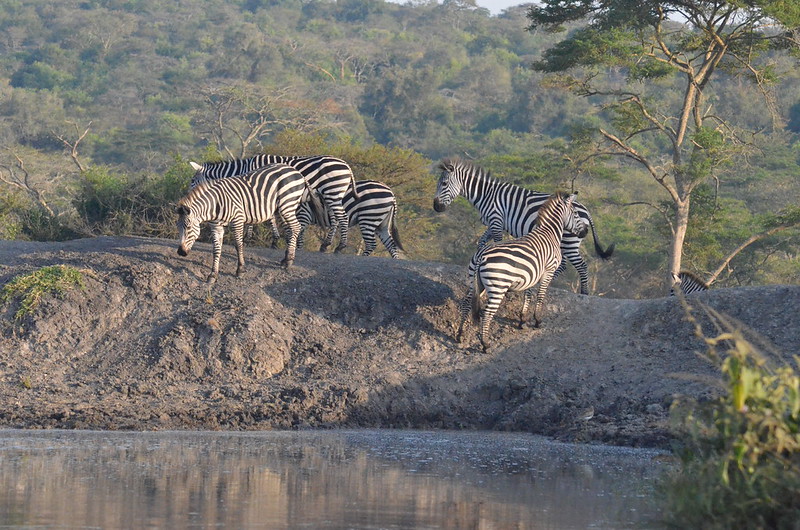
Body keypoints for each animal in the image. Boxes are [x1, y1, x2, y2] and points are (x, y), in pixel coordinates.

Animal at [177, 163, 318, 282]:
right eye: (178, 228)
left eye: (188, 227)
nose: (180, 252)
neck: (215, 204)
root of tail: (296, 171)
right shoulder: (216, 226)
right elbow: (216, 249)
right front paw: (213, 274)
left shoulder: (237, 220)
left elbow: (238, 245)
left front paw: (240, 269)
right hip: (281, 210)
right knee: (290, 230)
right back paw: (285, 259)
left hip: (287, 205)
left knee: (296, 227)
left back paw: (289, 261)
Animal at [189, 153, 358, 252]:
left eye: (192, 181)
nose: (188, 195)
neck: (245, 169)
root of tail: (346, 165)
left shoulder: (261, 190)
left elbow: (267, 217)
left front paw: (266, 240)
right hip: (331, 195)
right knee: (336, 219)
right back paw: (326, 245)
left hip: (332, 191)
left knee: (342, 218)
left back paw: (340, 246)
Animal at [432, 157, 612, 296]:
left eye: (444, 183)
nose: (436, 207)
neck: (486, 195)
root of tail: (585, 210)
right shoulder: (493, 223)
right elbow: (481, 243)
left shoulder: (496, 220)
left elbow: (497, 244)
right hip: (565, 242)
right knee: (563, 265)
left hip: (569, 241)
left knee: (581, 265)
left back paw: (584, 293)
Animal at [456, 190, 588, 350]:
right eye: (575, 214)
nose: (585, 231)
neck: (549, 232)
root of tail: (482, 255)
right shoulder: (548, 271)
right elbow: (540, 295)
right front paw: (537, 320)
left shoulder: (532, 273)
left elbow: (528, 294)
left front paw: (522, 320)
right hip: (498, 286)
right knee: (487, 313)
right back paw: (485, 344)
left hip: (475, 282)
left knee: (466, 303)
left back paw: (460, 334)